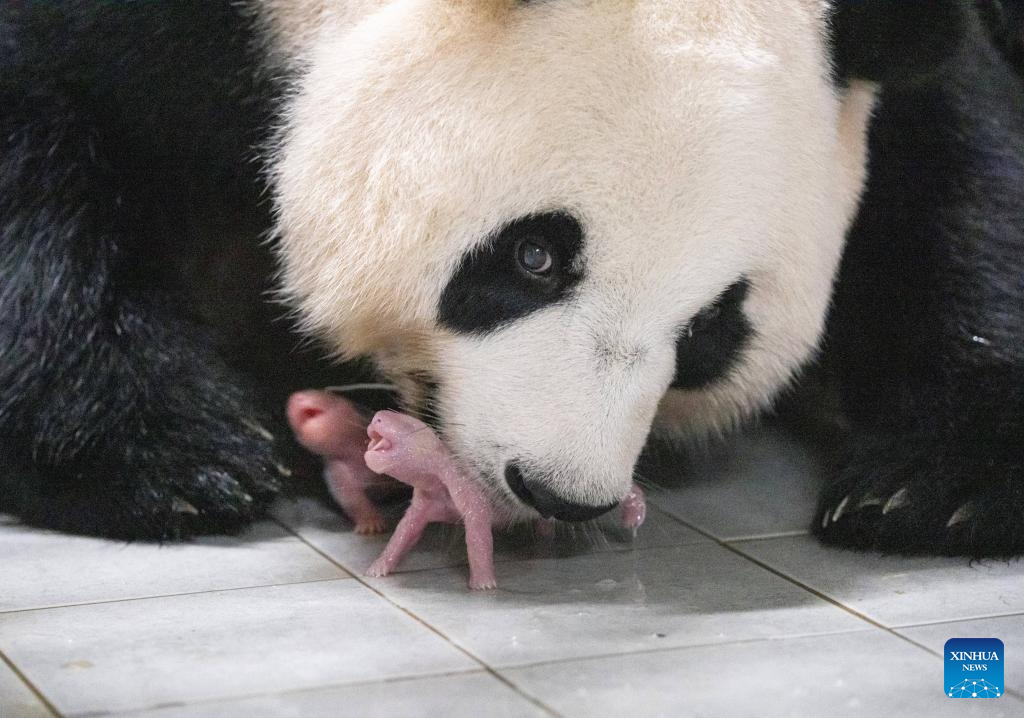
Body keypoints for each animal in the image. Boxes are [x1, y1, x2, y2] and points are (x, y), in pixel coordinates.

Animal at [2, 1, 1024, 553]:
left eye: (711, 330)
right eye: (534, 256)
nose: (560, 490)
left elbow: (960, 174)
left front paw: (932, 486)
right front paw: (170, 455)